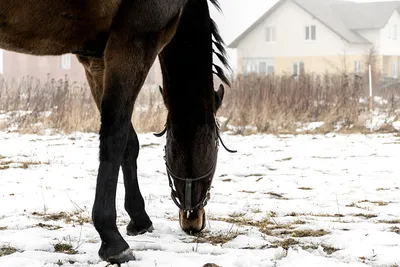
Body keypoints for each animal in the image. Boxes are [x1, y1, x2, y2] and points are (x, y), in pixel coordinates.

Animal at [0, 0, 233, 264]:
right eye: (216, 143)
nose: (193, 220)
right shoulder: (135, 41)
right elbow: (115, 136)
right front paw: (112, 240)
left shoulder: (96, 61)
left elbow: (130, 144)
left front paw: (139, 218)